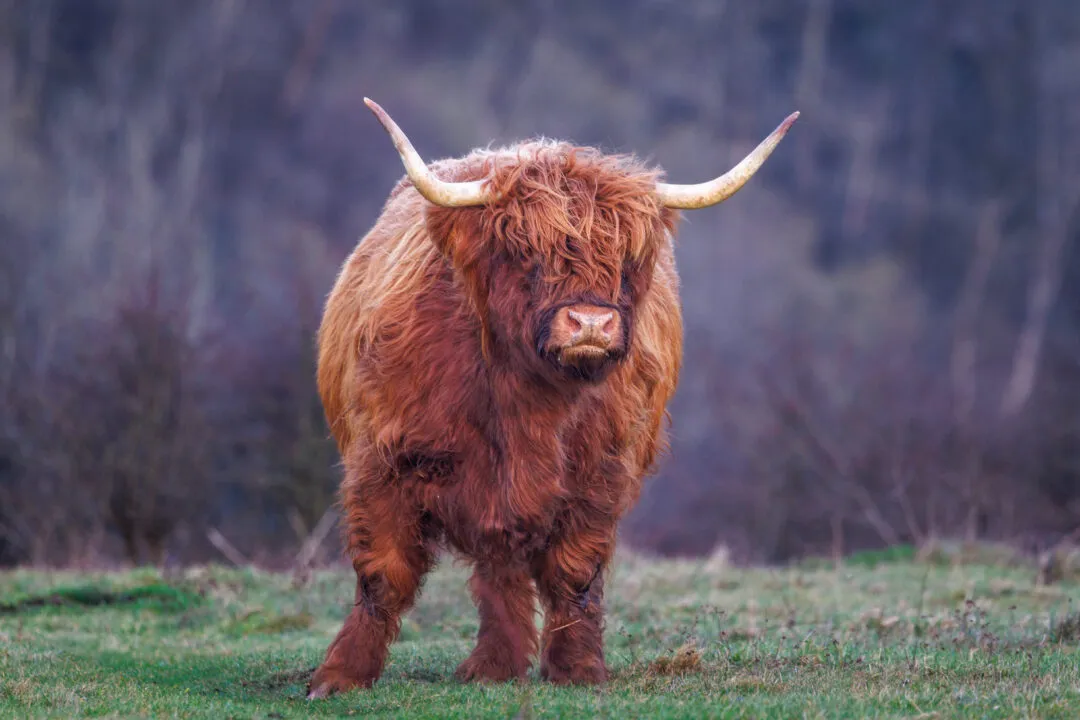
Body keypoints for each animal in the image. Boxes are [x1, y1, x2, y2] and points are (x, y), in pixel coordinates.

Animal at [306, 98, 798, 697]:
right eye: (525, 251)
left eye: (626, 259)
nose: (590, 322)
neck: (526, 400)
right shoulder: (383, 462)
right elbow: (383, 572)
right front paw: (340, 675)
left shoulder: (599, 474)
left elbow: (574, 573)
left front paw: (577, 669)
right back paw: (493, 666)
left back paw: (496, 663)